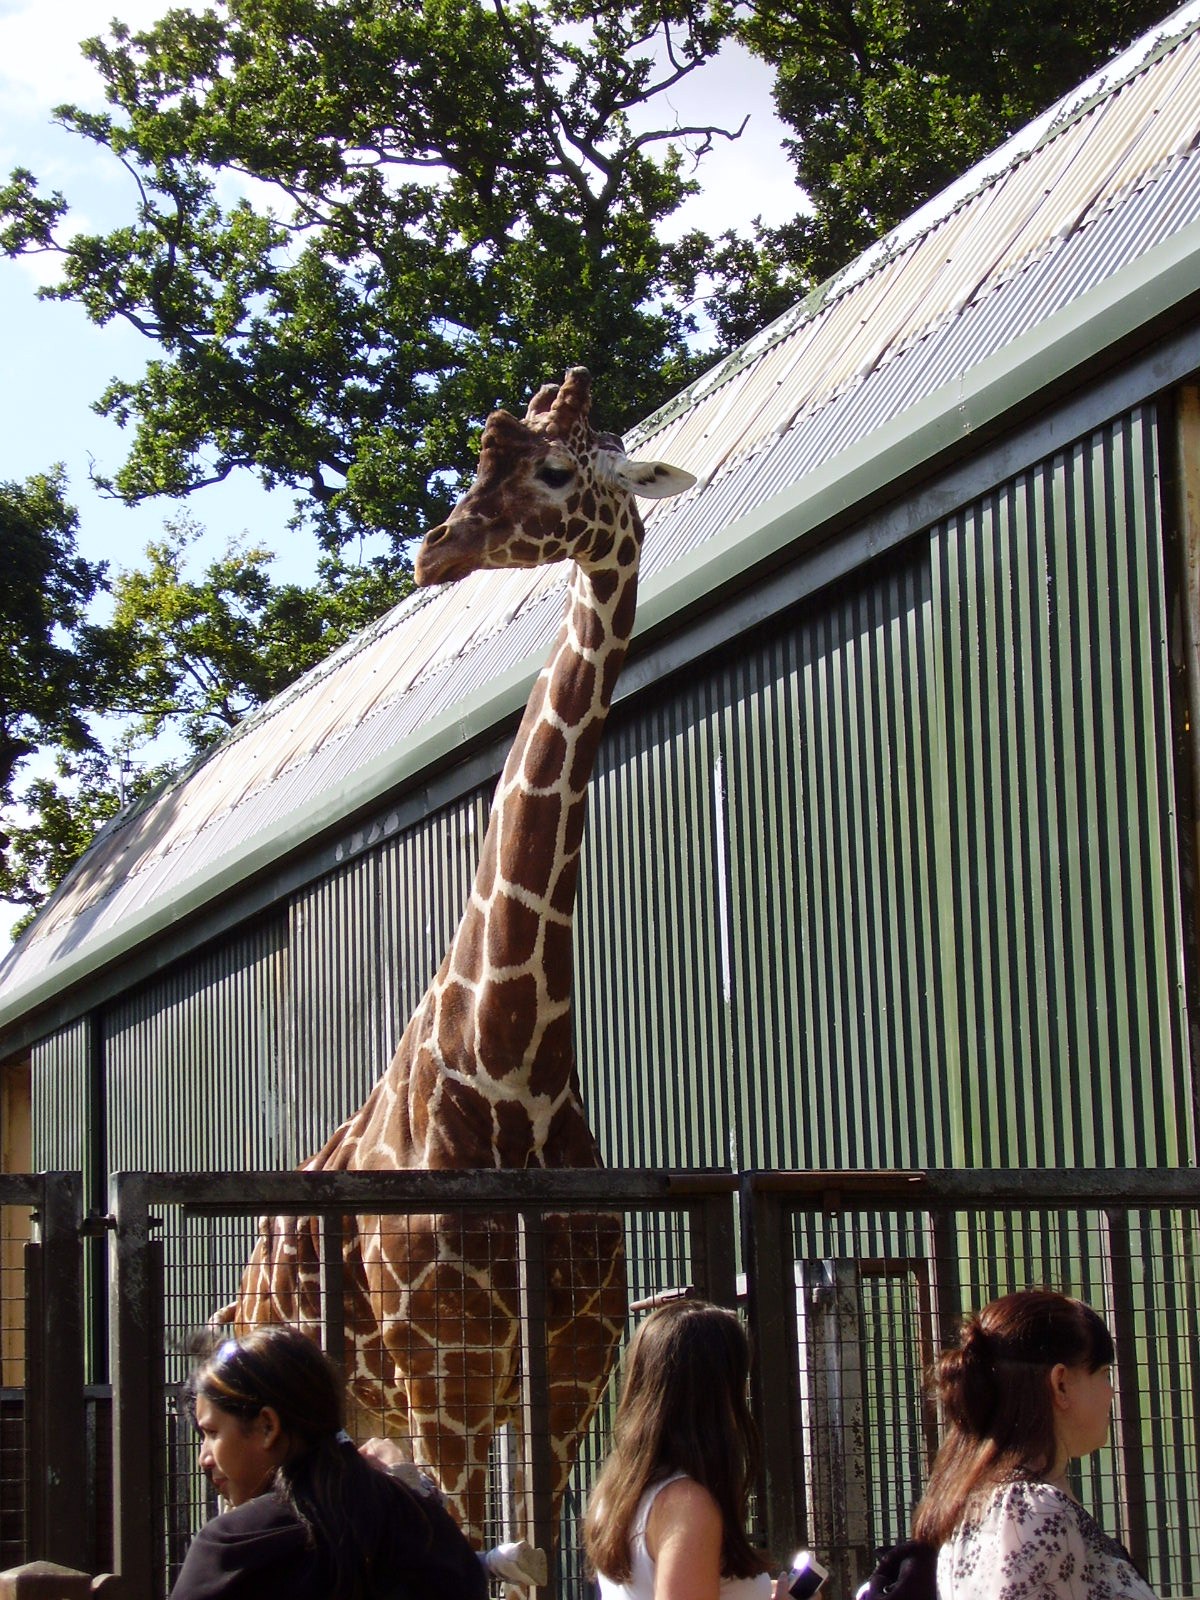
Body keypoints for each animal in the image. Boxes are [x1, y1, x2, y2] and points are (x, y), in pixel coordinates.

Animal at [218, 367, 695, 1558]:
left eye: (556, 468)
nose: (435, 549)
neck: (513, 1073)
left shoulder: (564, 1374)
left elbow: (535, 1557)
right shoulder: (448, 1375)